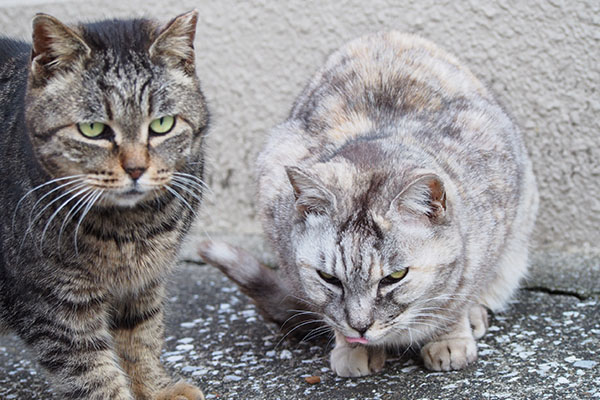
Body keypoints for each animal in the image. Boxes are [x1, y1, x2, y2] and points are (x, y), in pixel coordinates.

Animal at [0, 10, 206, 398]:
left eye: (162, 124)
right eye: (93, 130)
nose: (136, 169)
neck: (131, 229)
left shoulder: (142, 285)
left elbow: (141, 338)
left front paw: (155, 388)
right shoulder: (54, 304)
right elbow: (92, 373)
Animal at [200, 32, 540, 378]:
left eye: (396, 276)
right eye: (329, 279)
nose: (360, 327)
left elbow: (457, 297)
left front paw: (449, 339)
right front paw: (351, 349)